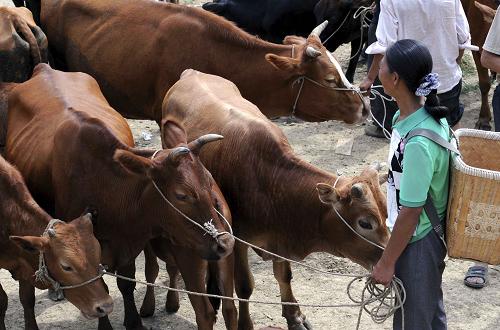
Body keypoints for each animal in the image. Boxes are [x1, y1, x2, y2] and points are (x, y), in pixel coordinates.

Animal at [0, 155, 113, 330]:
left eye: (98, 256)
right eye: (66, 266)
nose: (105, 306)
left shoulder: (24, 262)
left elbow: (27, 299)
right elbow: (2, 301)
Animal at [143, 71, 388, 330]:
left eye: (386, 214)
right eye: (365, 223)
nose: (388, 264)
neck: (268, 179)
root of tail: (192, 72)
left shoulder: (279, 239)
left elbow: (284, 276)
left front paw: (294, 316)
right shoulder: (238, 239)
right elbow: (244, 286)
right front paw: (245, 323)